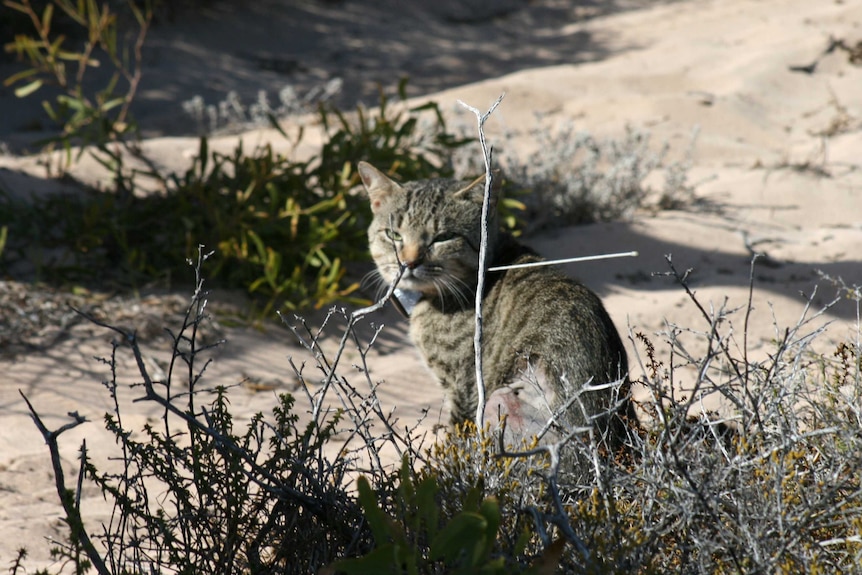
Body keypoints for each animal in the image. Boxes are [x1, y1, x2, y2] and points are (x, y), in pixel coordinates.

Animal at [358, 162, 636, 450]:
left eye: (443, 237)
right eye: (393, 235)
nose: (409, 262)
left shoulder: (465, 389)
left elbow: (457, 444)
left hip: (499, 398)